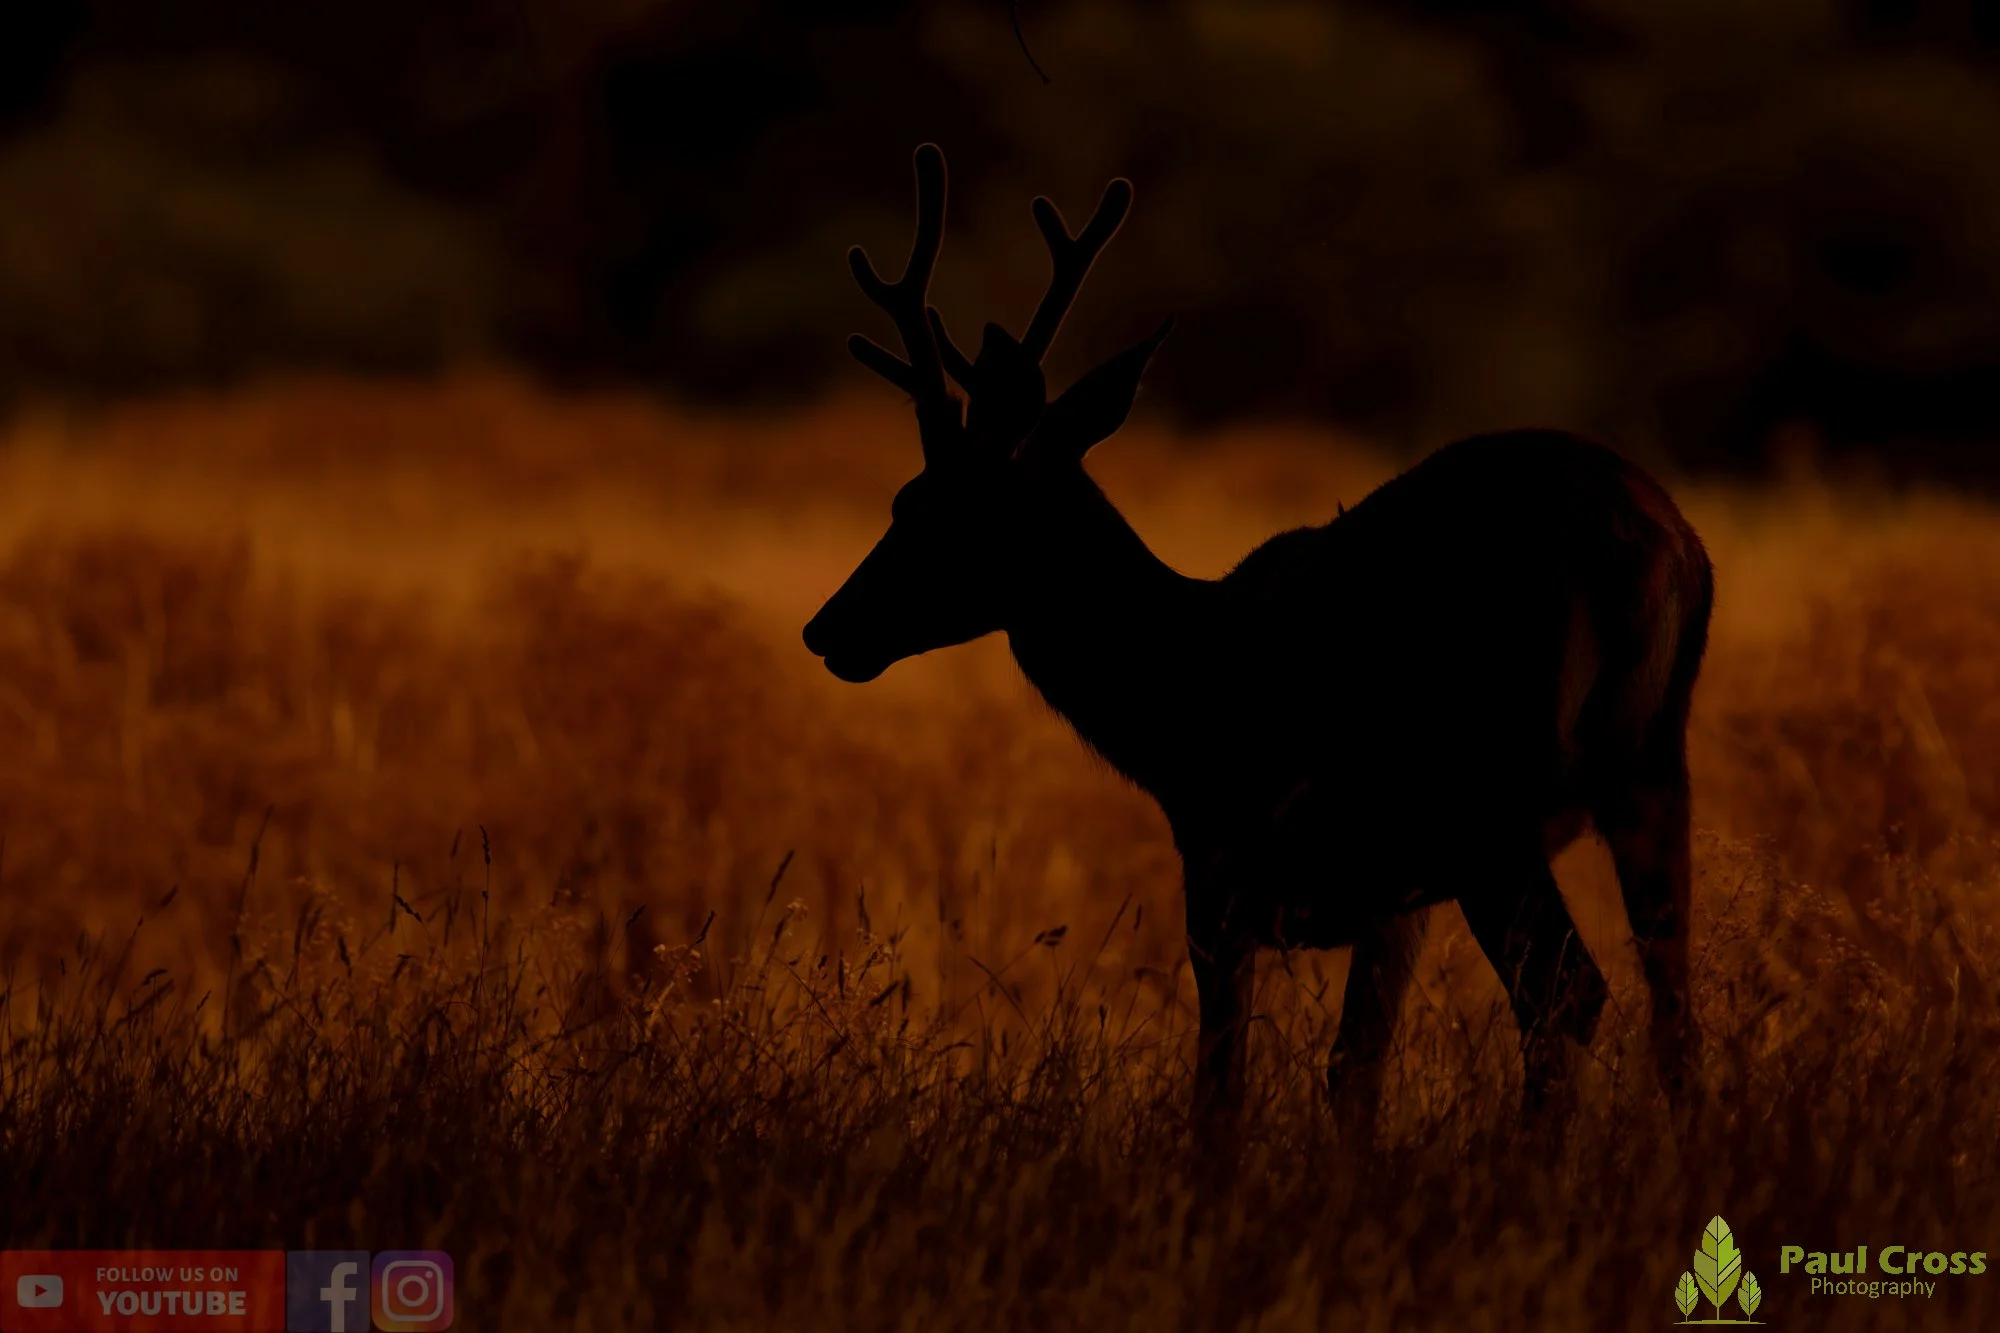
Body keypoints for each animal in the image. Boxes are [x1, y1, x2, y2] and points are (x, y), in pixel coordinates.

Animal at [803, 144, 1714, 1132]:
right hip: (1652, 775)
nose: (827, 627)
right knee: (1673, 1005)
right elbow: (1353, 1069)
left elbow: (1220, 1090)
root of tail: (1656, 542)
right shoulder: (1394, 898)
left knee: (1567, 990)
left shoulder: (1223, 859)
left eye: (934, 505)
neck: (1178, 693)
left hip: (1492, 797)